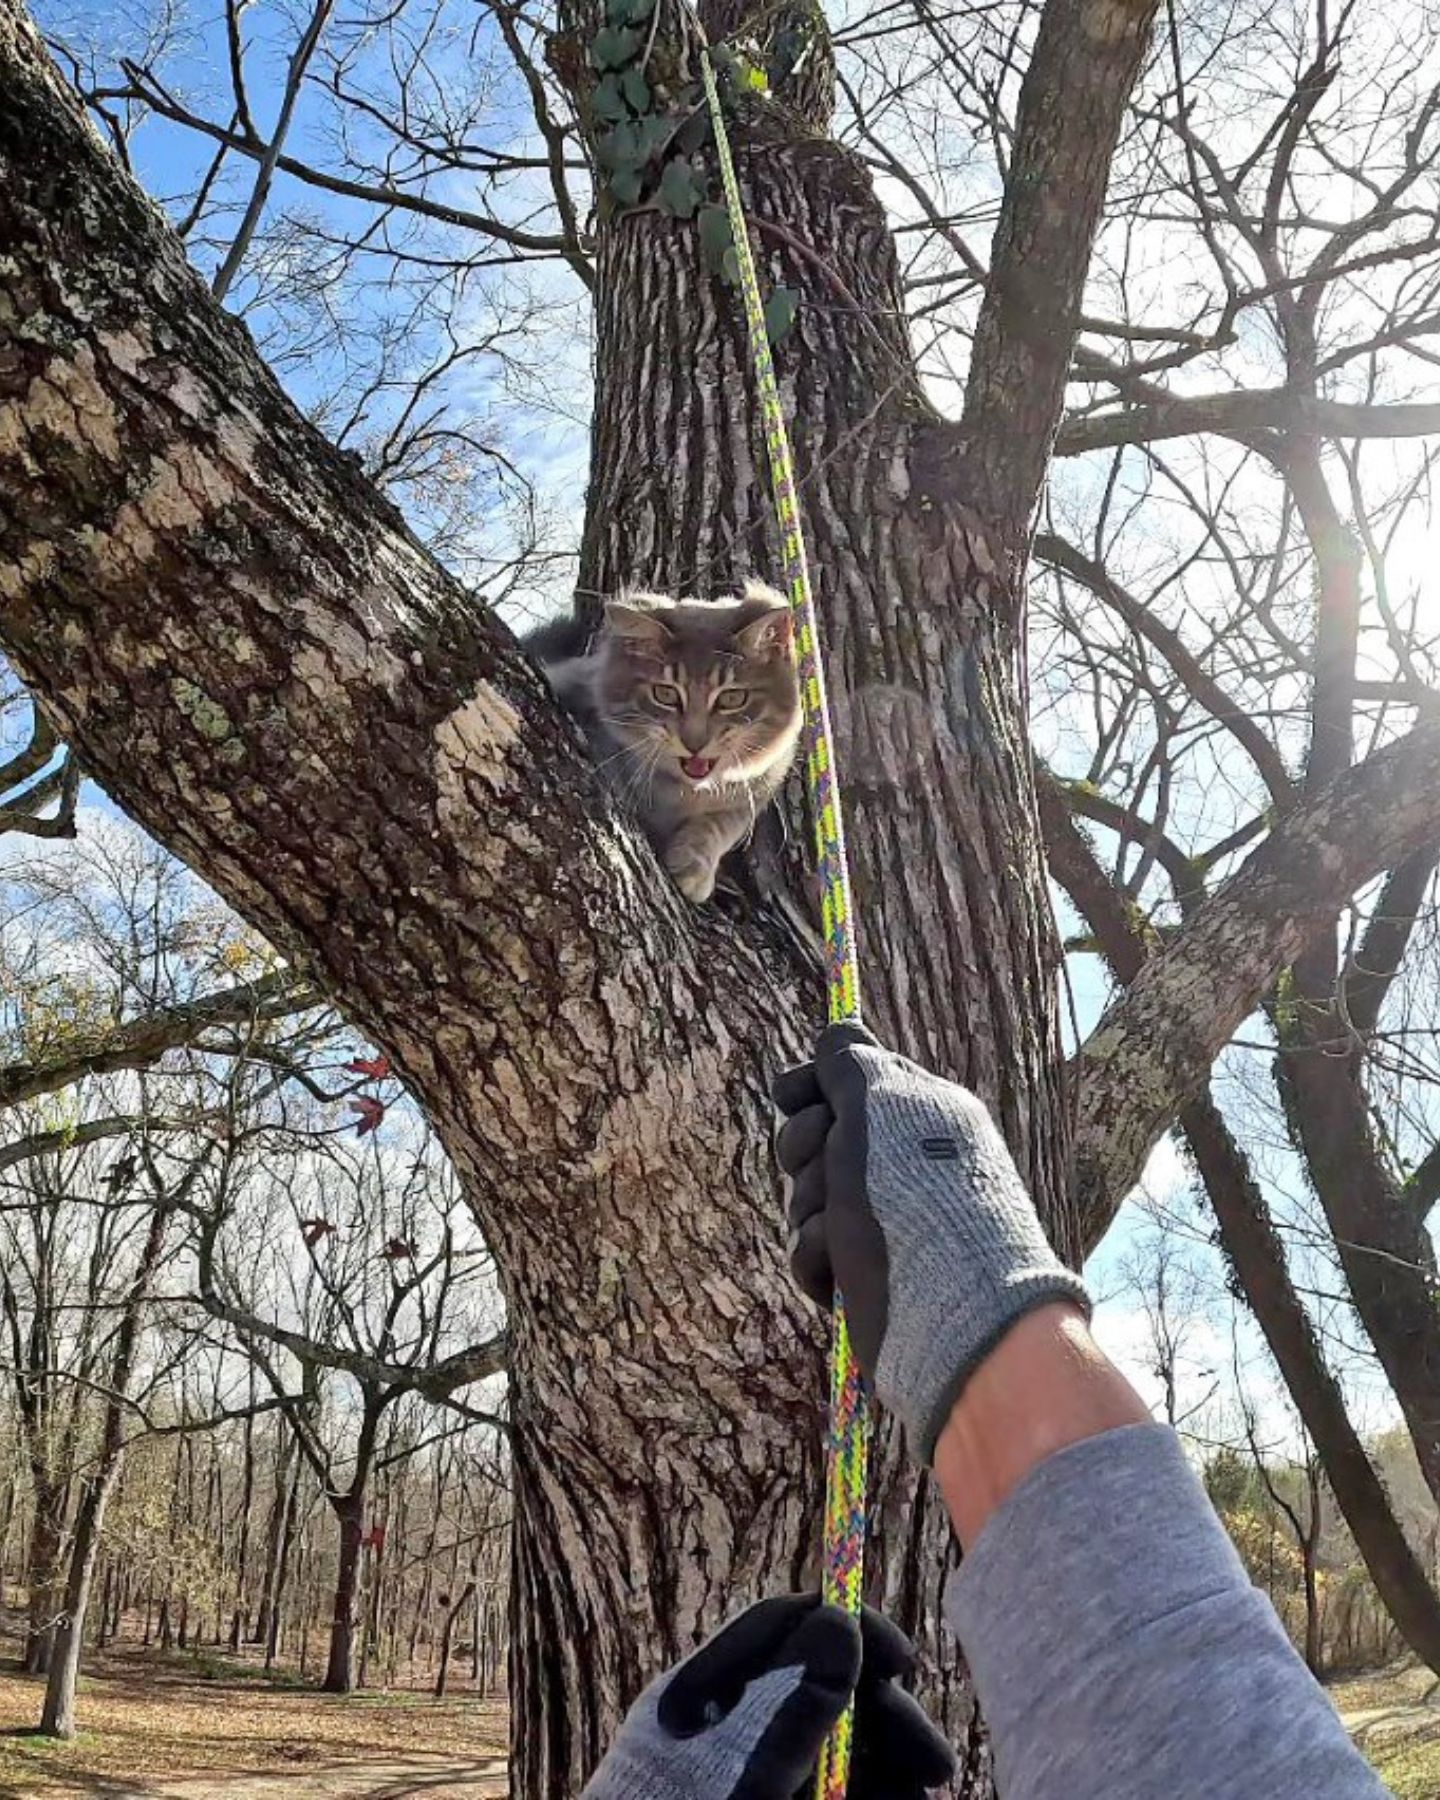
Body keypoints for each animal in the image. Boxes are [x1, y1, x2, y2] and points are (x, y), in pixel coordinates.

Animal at [525, 583, 799, 907]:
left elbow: (720, 826)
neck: (685, 792)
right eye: (665, 694)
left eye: (732, 698)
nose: (695, 743)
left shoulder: (754, 790)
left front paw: (695, 866)